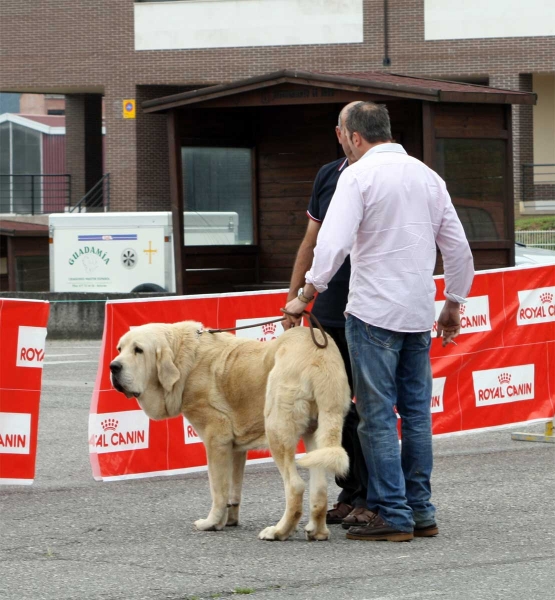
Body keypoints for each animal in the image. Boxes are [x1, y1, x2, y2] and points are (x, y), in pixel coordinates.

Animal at [109, 322, 352, 540]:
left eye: (138, 350)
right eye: (120, 349)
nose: (113, 366)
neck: (184, 359)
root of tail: (320, 356)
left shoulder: (216, 441)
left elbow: (217, 488)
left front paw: (211, 522)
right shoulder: (235, 449)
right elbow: (232, 488)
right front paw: (229, 520)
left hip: (277, 430)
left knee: (295, 486)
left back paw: (278, 532)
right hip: (316, 434)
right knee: (319, 487)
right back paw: (317, 531)